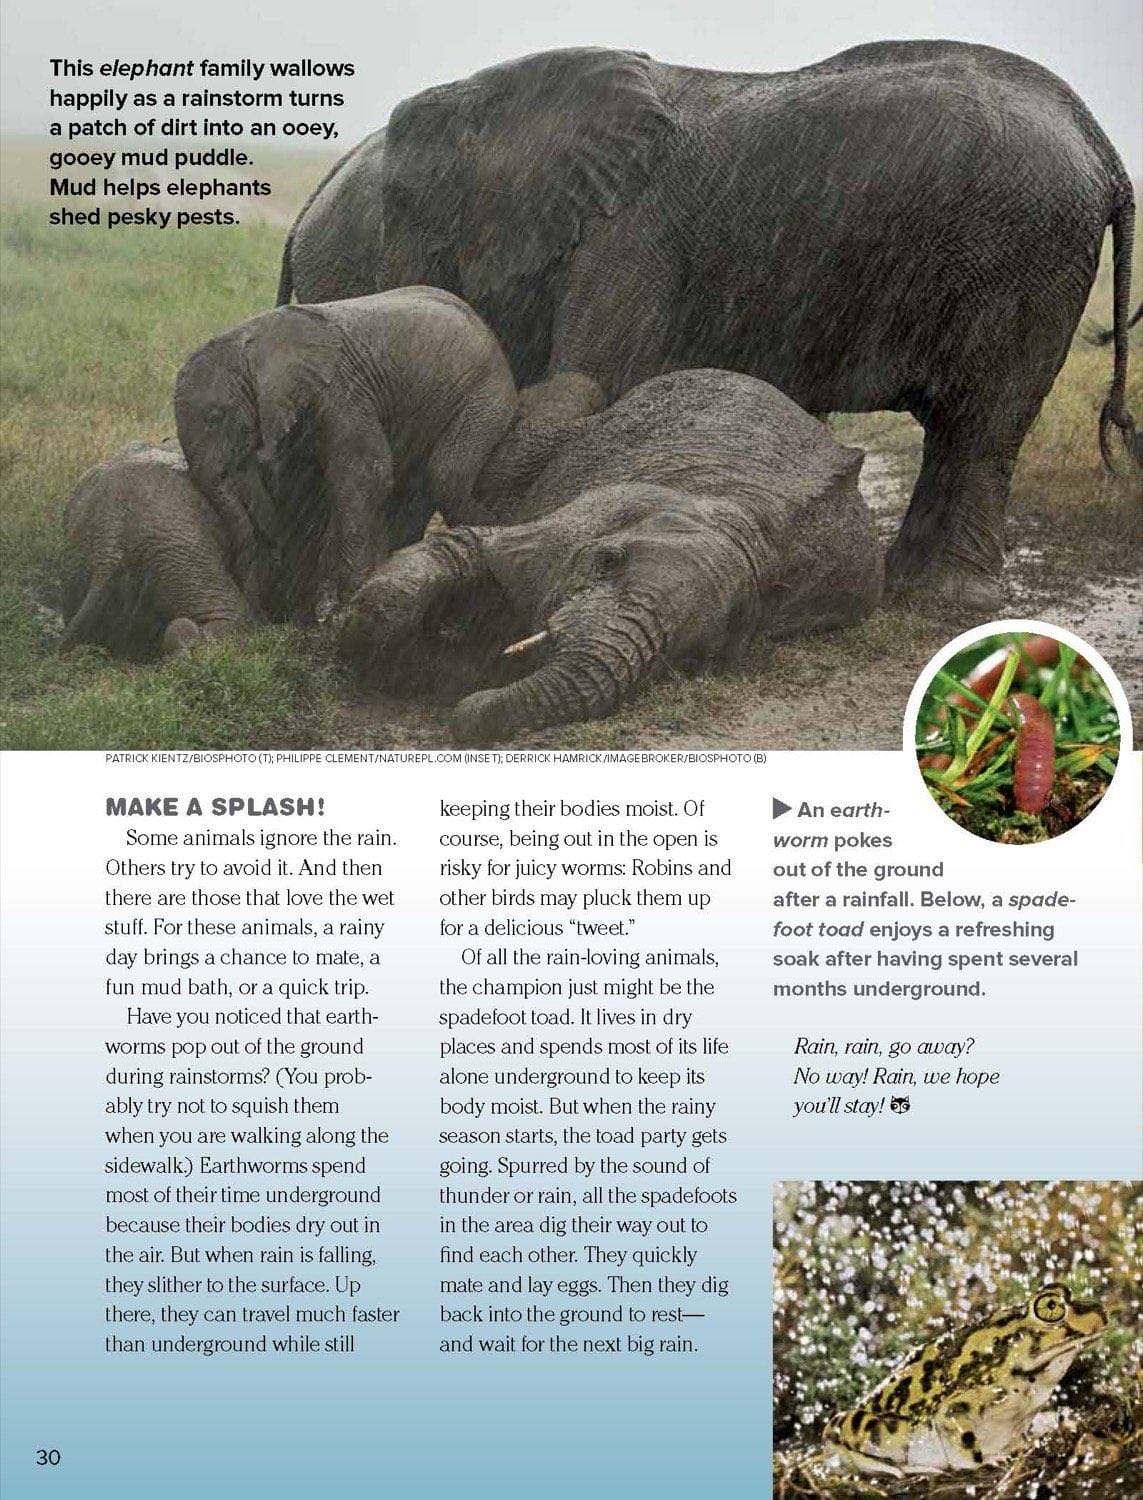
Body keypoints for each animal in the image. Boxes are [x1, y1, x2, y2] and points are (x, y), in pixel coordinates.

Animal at [174, 285, 518, 620]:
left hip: (484, 395)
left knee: (446, 474)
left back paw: (495, 528)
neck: (248, 336)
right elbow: (304, 493)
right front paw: (309, 611)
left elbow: (366, 474)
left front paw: (347, 597)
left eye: (215, 417)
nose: (260, 614)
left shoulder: (343, 392)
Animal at [282, 42, 1139, 610]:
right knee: (964, 431)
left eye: (402, 202)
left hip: (1025, 253)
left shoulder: (633, 234)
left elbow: (597, 380)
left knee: (981, 424)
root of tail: (1102, 149)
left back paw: (944, 601)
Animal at [337, 368, 883, 743]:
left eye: (694, 656)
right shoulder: (588, 513)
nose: (465, 710)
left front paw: (458, 670)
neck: (744, 518)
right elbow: (466, 547)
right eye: (609, 560)